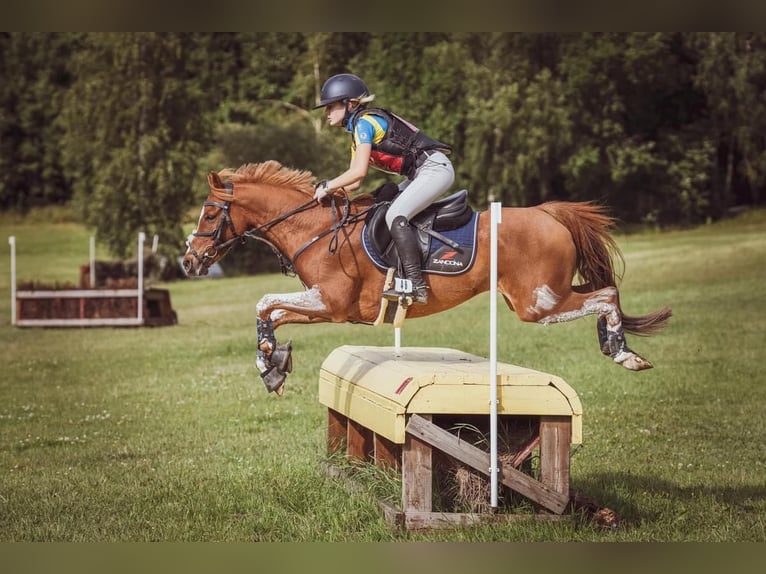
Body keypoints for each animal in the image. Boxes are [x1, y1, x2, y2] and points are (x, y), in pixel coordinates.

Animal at [184, 162, 672, 396]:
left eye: (208, 215)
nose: (188, 262)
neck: (316, 230)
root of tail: (548, 213)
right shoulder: (323, 306)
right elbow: (268, 311)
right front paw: (272, 364)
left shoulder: (331, 303)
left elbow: (265, 301)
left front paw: (272, 362)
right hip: (541, 297)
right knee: (603, 292)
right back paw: (617, 346)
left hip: (537, 303)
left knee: (606, 293)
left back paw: (624, 353)